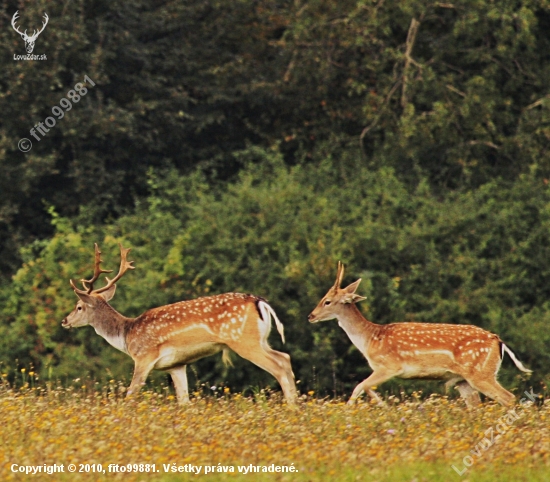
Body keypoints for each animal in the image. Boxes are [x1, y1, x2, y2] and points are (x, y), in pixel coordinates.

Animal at [61, 243, 298, 404]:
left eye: (79, 306)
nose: (65, 321)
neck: (127, 335)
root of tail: (259, 302)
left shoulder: (144, 357)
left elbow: (131, 393)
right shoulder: (176, 365)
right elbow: (184, 400)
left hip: (244, 341)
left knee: (278, 366)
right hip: (261, 340)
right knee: (285, 357)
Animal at [308, 264, 532, 406]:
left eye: (327, 301)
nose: (311, 316)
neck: (370, 339)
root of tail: (498, 341)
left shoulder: (390, 366)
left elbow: (361, 386)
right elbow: (363, 387)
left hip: (481, 373)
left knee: (508, 398)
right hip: (464, 379)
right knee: (476, 406)